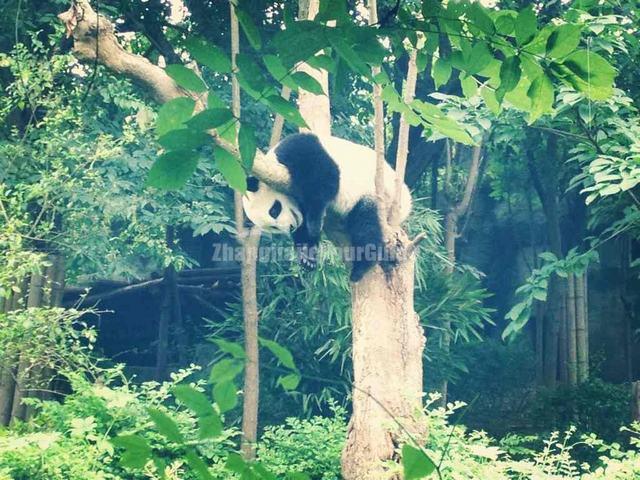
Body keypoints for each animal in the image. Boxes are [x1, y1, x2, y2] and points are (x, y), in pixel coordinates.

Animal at [242, 133, 412, 282]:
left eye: (274, 210)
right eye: (273, 227)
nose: (290, 227)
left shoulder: (297, 151)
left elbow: (324, 178)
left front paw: (314, 223)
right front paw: (307, 255)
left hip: (377, 192)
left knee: (365, 223)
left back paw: (362, 266)